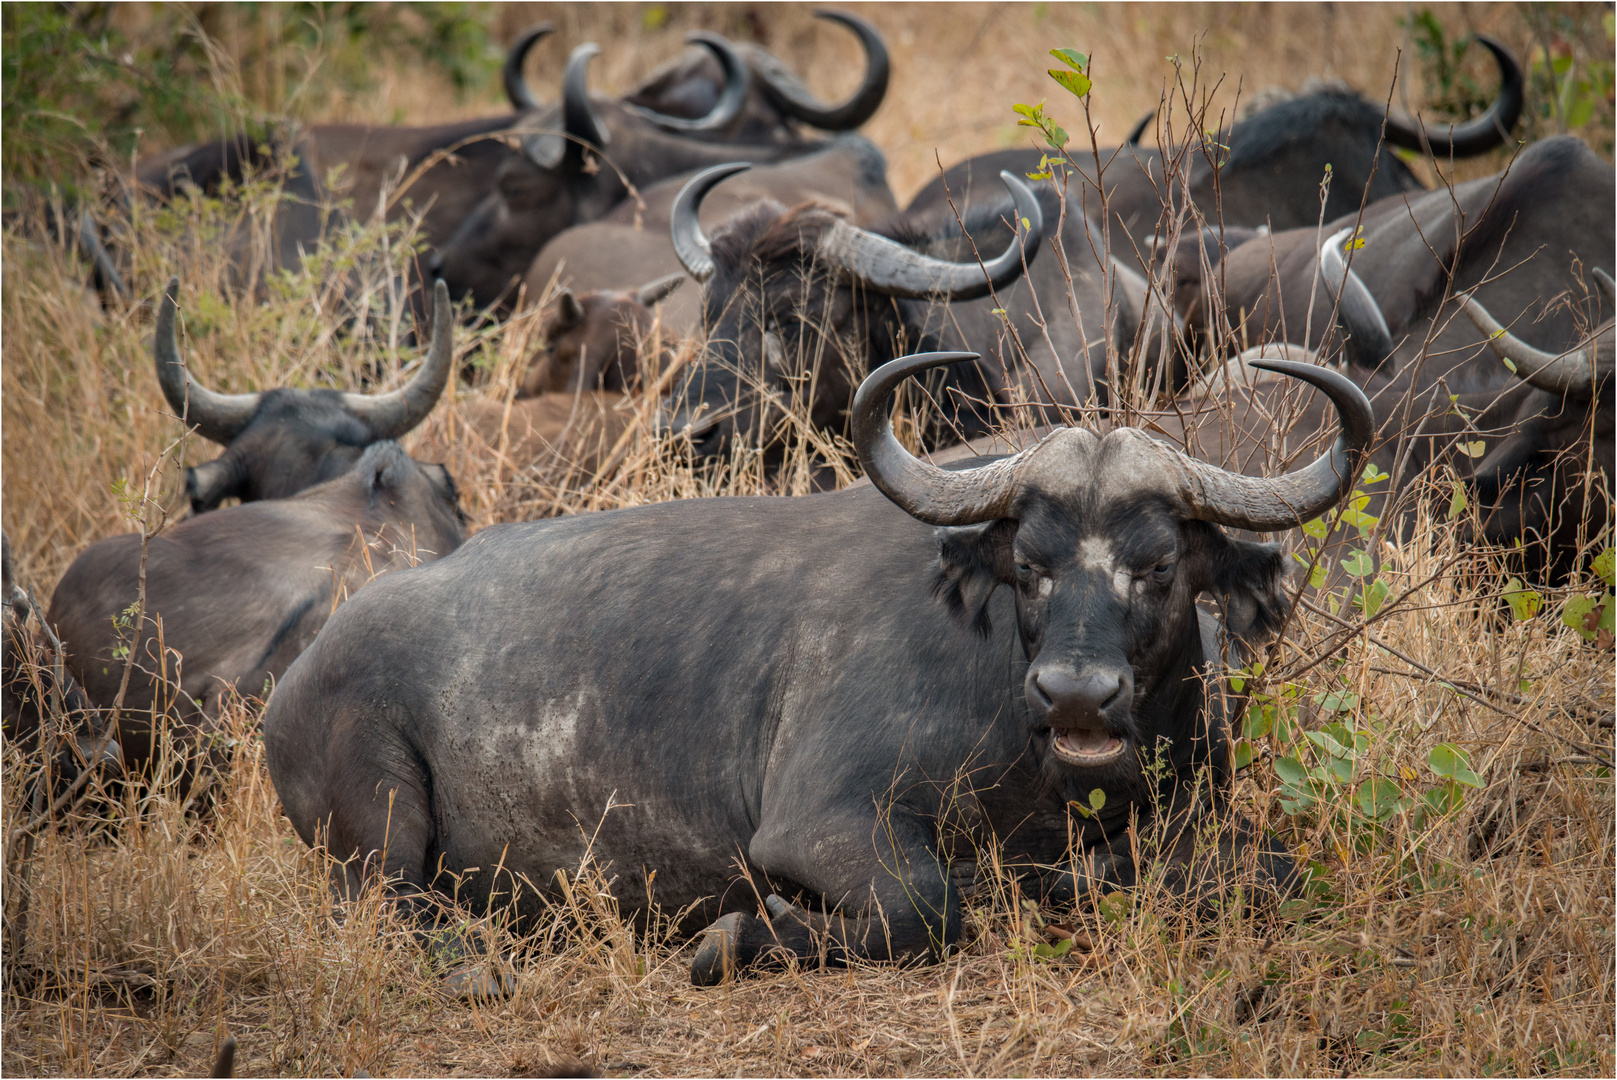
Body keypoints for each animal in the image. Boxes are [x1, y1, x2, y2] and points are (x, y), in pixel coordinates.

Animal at [261, 350, 1364, 989]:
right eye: (1030, 563)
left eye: (1161, 562)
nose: (1077, 695)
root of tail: (298, 675)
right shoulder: (820, 825)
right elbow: (926, 907)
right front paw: (739, 939)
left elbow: (1263, 870)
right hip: (379, 834)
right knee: (394, 916)